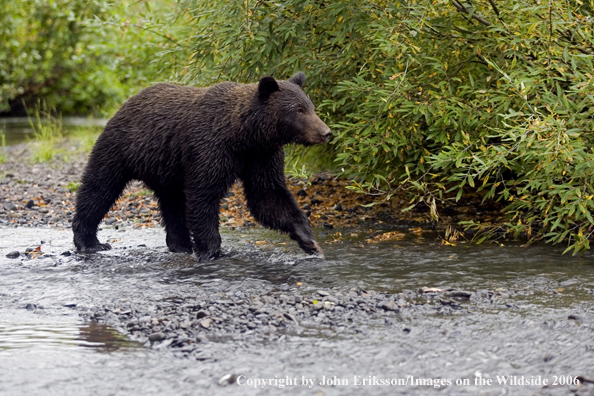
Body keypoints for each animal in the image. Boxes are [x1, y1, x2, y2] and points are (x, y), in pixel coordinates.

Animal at [72, 72, 330, 260]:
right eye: (299, 110)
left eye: (311, 106)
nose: (326, 132)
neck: (243, 135)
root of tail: (126, 102)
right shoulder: (209, 148)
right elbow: (203, 196)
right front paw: (212, 250)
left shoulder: (262, 156)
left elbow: (268, 195)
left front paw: (309, 240)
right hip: (121, 148)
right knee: (99, 188)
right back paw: (90, 242)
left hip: (166, 167)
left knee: (172, 203)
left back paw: (180, 244)